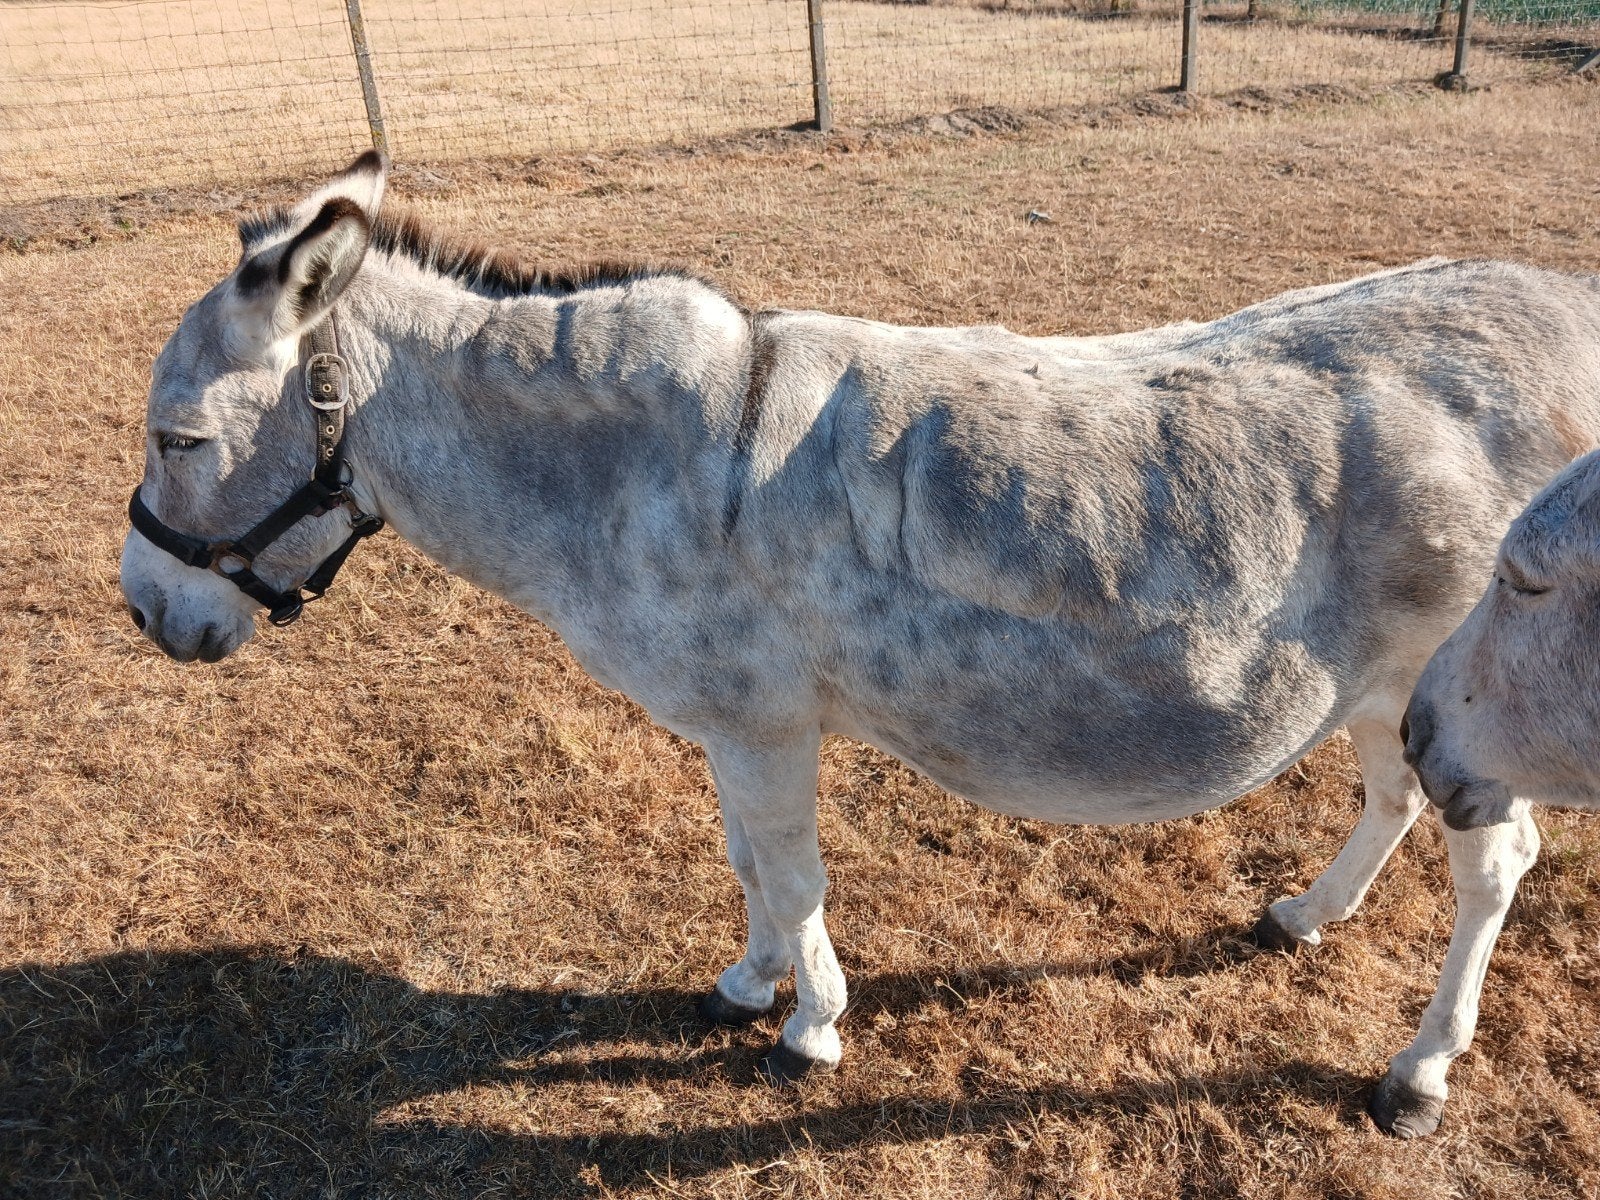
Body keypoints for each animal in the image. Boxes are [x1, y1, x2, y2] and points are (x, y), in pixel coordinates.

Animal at [119, 152, 1600, 1138]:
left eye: (178, 439)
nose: (143, 613)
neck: (633, 468)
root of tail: (1564, 308)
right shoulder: (734, 726)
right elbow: (749, 866)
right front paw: (747, 983)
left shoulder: (765, 722)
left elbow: (793, 871)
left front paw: (809, 1030)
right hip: (1389, 688)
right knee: (1395, 791)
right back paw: (1305, 915)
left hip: (1470, 690)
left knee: (1494, 864)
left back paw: (1418, 1074)